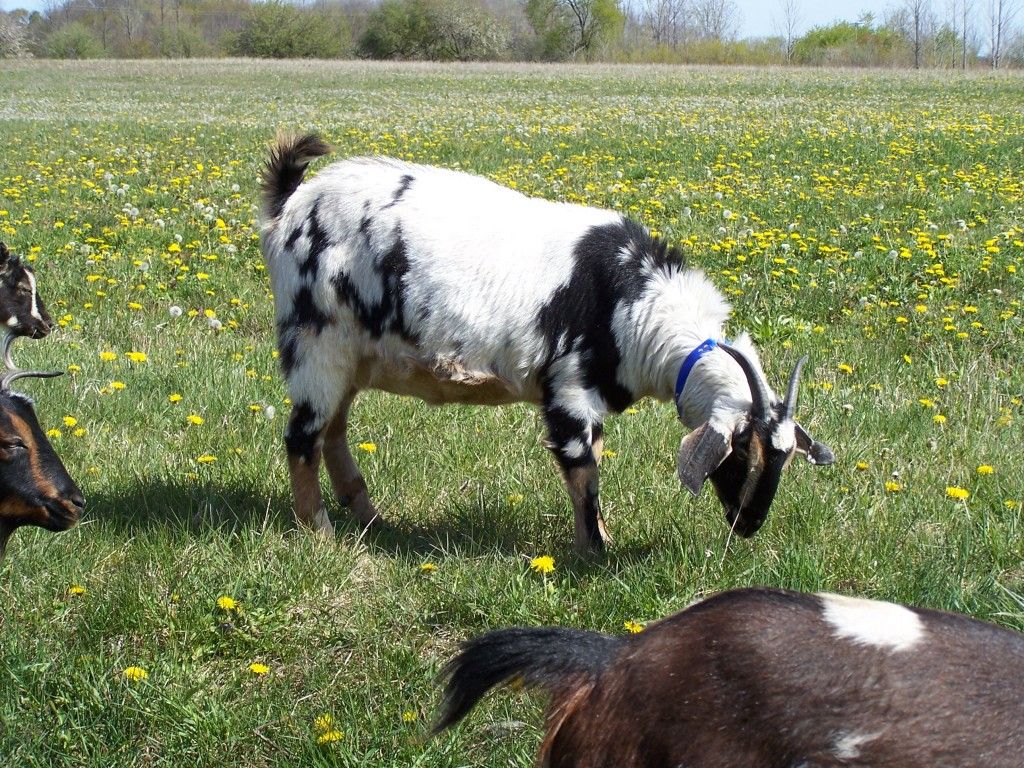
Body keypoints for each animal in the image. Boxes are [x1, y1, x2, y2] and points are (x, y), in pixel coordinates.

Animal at [259, 133, 833, 553]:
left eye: (784, 460)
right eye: (740, 454)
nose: (748, 525)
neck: (634, 301)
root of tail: (289, 207)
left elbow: (592, 464)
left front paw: (596, 541)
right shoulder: (569, 390)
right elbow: (584, 473)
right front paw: (597, 554)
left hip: (350, 358)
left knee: (333, 431)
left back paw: (369, 519)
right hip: (316, 342)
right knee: (302, 436)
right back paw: (320, 534)